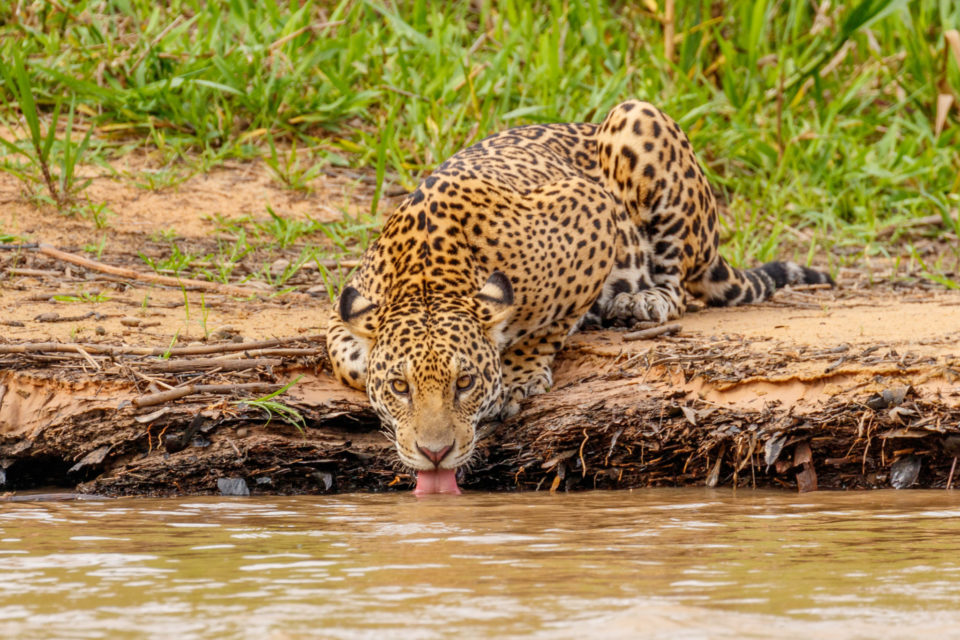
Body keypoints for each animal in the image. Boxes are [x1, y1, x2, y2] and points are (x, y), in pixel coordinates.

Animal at [325, 100, 832, 494]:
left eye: (464, 383)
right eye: (400, 388)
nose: (435, 453)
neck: (429, 278)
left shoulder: (589, 209)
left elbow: (549, 322)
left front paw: (519, 377)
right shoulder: (348, 307)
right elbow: (347, 360)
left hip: (638, 119)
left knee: (676, 282)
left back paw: (641, 301)